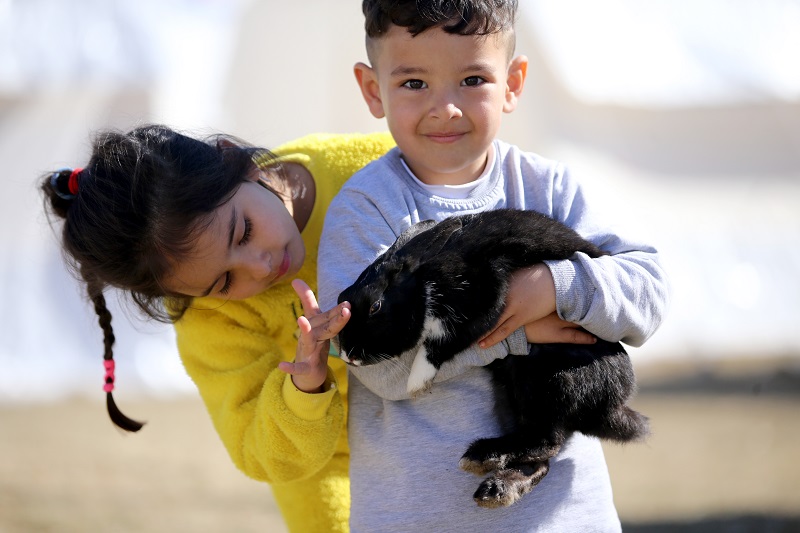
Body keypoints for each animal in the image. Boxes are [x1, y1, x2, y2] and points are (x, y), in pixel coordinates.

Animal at [336, 208, 648, 508]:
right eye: (342, 298)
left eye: (375, 306)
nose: (348, 355)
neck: (424, 281)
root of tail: (612, 406)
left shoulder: (483, 299)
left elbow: (440, 342)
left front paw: (416, 383)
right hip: (514, 395)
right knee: (541, 455)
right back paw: (495, 487)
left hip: (552, 380)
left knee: (546, 441)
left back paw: (482, 456)